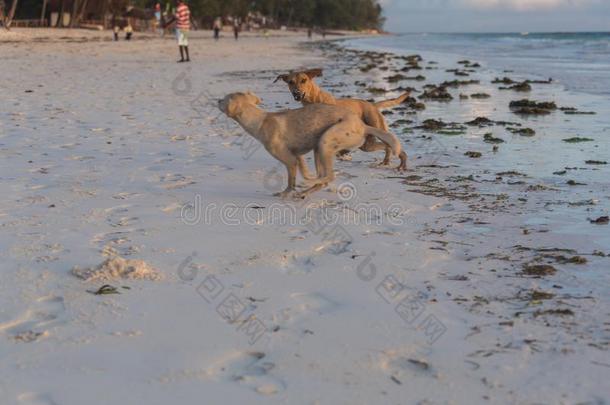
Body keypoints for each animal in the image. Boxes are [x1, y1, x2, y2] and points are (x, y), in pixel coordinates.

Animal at [218, 92, 404, 199]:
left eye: (223, 100)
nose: (216, 100)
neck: (260, 120)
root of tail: (363, 126)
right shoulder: (297, 155)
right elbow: (299, 168)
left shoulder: (289, 160)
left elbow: (290, 180)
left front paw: (285, 193)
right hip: (318, 148)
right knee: (323, 179)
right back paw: (306, 191)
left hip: (325, 141)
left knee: (329, 176)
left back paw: (307, 186)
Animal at [274, 68, 406, 169]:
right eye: (290, 82)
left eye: (303, 80)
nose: (297, 93)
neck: (314, 101)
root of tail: (372, 105)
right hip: (368, 143)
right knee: (384, 146)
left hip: (376, 128)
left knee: (390, 145)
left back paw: (396, 162)